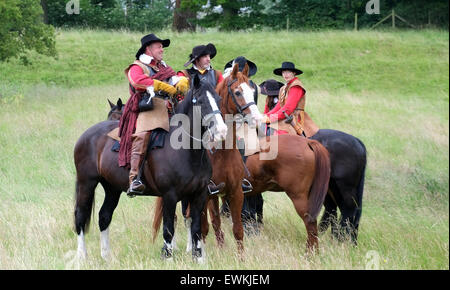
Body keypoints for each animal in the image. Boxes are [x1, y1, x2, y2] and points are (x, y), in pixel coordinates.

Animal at [75, 73, 229, 262]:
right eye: (199, 100)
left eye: (218, 98)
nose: (221, 130)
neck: (186, 151)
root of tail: (85, 136)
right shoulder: (169, 196)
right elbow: (168, 228)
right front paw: (168, 257)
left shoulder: (198, 195)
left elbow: (195, 228)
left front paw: (199, 258)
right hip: (86, 183)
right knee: (80, 217)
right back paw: (81, 256)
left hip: (112, 188)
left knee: (104, 216)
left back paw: (107, 257)